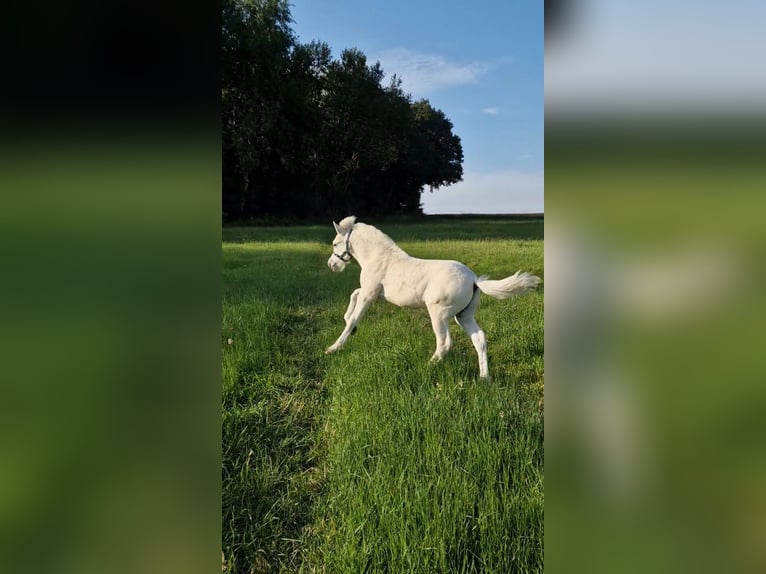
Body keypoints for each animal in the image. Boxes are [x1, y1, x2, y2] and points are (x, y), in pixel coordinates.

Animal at [328, 218, 544, 380]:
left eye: (335, 243)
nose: (332, 265)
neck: (380, 258)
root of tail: (473, 279)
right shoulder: (372, 292)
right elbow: (353, 295)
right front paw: (348, 322)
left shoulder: (370, 294)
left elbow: (355, 316)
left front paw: (333, 347)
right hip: (463, 316)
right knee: (479, 338)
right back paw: (484, 377)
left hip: (438, 314)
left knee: (444, 343)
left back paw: (427, 366)